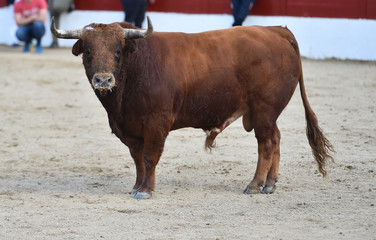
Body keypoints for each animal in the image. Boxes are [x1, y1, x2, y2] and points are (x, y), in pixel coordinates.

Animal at [50, 17, 334, 199]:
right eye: (88, 51)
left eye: (118, 50)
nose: (103, 80)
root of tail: (275, 31)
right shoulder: (130, 129)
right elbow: (138, 160)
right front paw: (137, 186)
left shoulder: (157, 123)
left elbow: (149, 157)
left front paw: (146, 190)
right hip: (266, 113)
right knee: (275, 139)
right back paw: (270, 184)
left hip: (264, 110)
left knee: (265, 144)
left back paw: (254, 185)